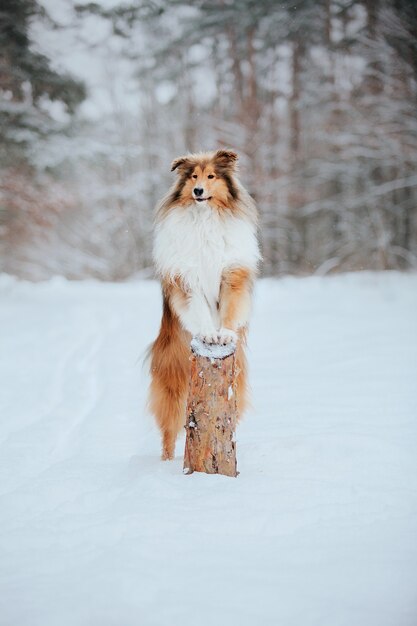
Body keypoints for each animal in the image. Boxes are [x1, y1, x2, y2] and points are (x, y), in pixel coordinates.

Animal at [150, 147, 258, 458]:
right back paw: (165, 462)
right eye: (193, 177)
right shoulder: (188, 281)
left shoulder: (232, 275)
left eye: (211, 176)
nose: (198, 190)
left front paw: (224, 334)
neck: (205, 217)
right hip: (173, 382)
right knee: (169, 429)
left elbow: (231, 310)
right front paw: (209, 334)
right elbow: (199, 311)